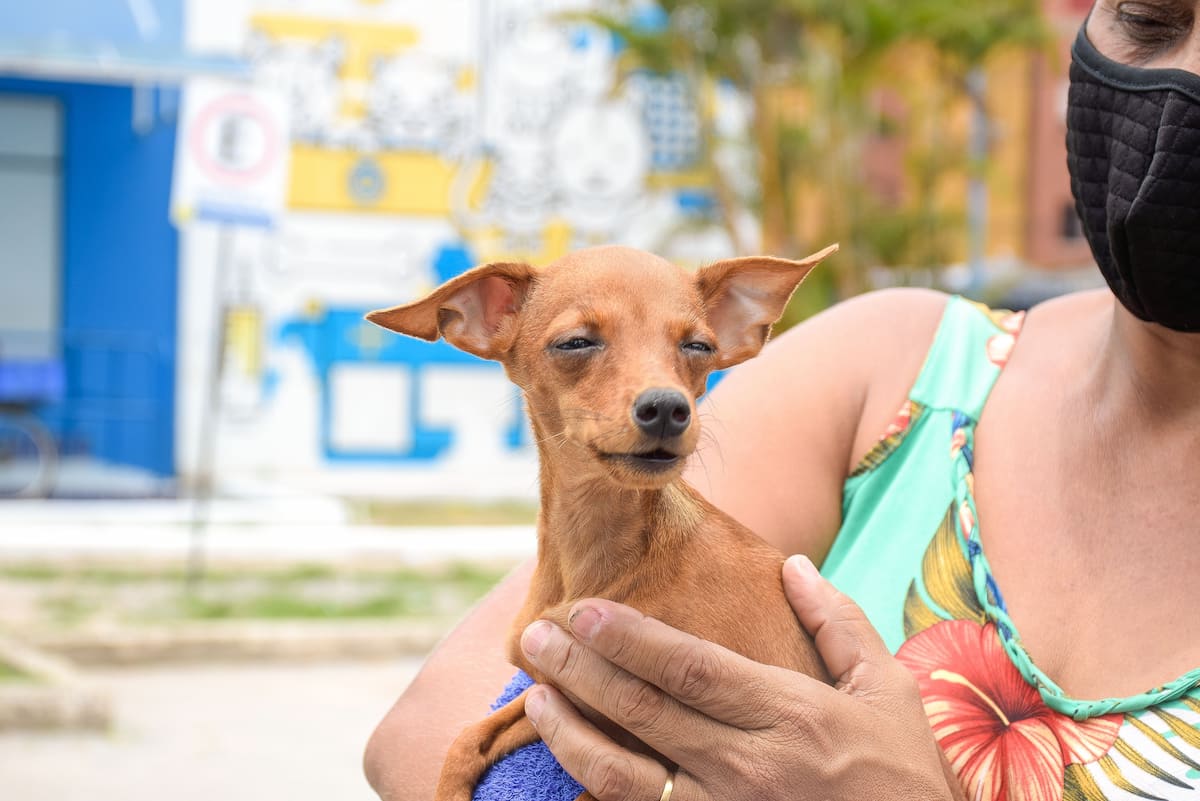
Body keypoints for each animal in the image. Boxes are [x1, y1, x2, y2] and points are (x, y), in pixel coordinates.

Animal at [364, 245, 835, 801]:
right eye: (576, 343)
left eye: (699, 346)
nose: (667, 407)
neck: (598, 556)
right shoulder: (556, 691)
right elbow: (467, 740)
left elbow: (591, 792)